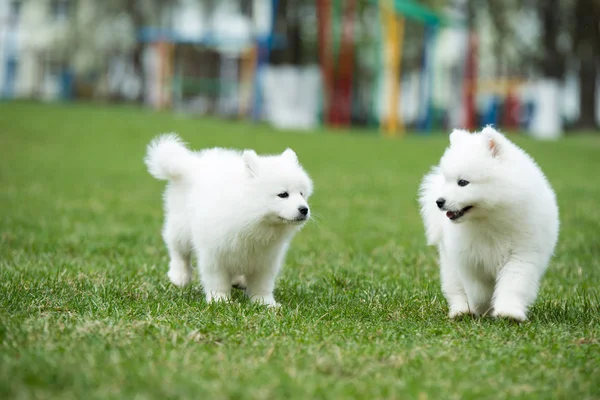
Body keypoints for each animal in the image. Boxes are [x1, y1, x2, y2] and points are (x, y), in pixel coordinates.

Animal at [145, 134, 314, 306]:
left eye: (301, 193)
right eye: (283, 194)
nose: (304, 209)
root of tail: (191, 164)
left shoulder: (266, 259)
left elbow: (262, 283)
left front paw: (265, 303)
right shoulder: (214, 253)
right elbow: (217, 280)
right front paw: (219, 300)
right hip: (181, 227)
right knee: (178, 250)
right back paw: (180, 276)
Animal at [420, 126, 560, 320]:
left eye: (462, 182)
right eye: (447, 180)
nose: (439, 201)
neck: (490, 218)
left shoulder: (522, 253)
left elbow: (513, 283)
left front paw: (509, 313)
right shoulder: (470, 259)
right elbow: (478, 289)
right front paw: (483, 307)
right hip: (448, 263)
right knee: (456, 288)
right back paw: (461, 312)